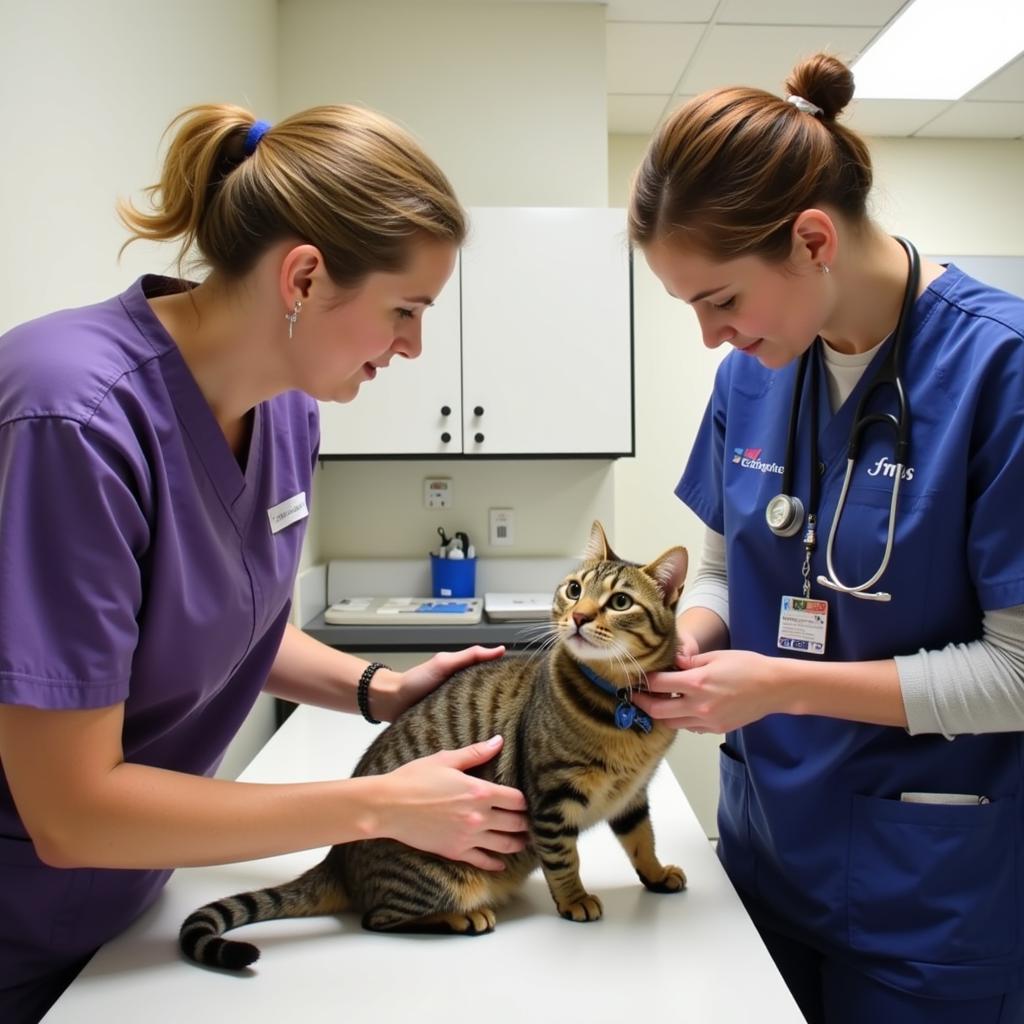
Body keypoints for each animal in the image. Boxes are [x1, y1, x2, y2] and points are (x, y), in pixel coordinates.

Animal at [182, 524, 688, 970]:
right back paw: (463, 918)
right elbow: (565, 860)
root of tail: (338, 859)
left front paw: (656, 873)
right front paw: (575, 899)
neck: (620, 705)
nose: (578, 617)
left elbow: (642, 840)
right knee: (378, 918)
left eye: (620, 601)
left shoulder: (633, 796)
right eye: (574, 588)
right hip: (442, 876)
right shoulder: (551, 799)